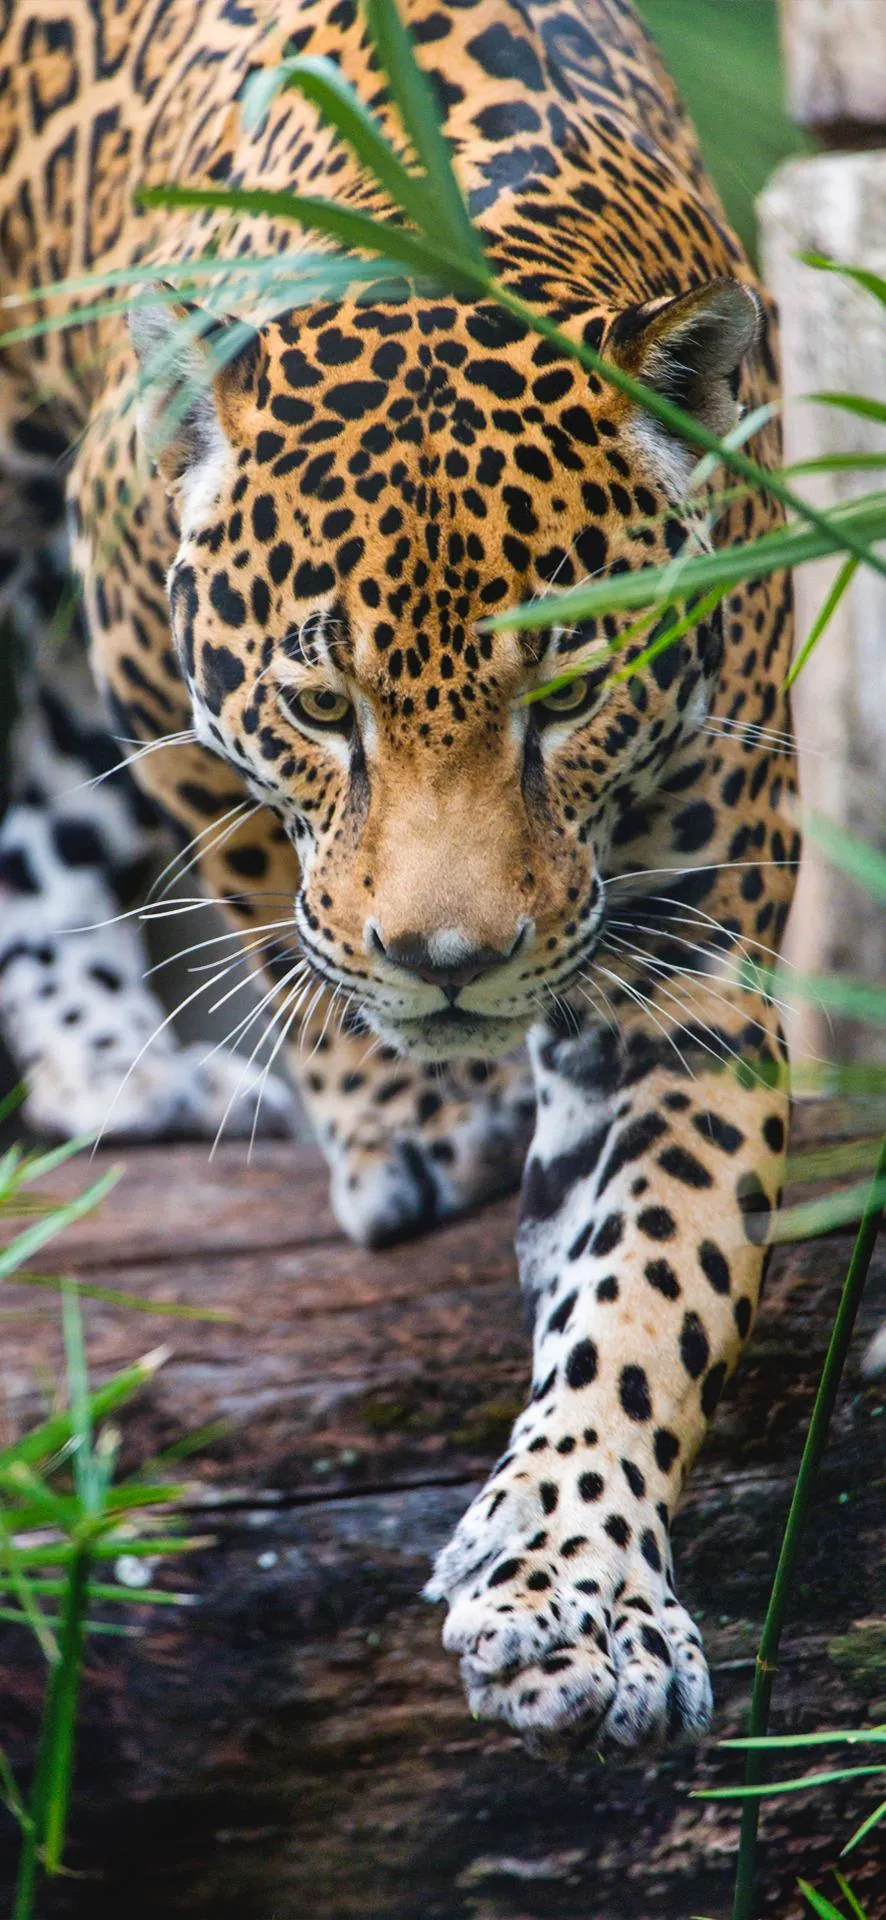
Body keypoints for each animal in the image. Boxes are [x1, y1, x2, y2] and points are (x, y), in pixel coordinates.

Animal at [0, 0, 799, 1754]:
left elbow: (656, 1279)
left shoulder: (687, 983)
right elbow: (262, 880)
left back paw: (110, 1062)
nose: (451, 961)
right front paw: (407, 1104)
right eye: (321, 710)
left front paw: (571, 1582)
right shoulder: (145, 641)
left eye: (565, 691)